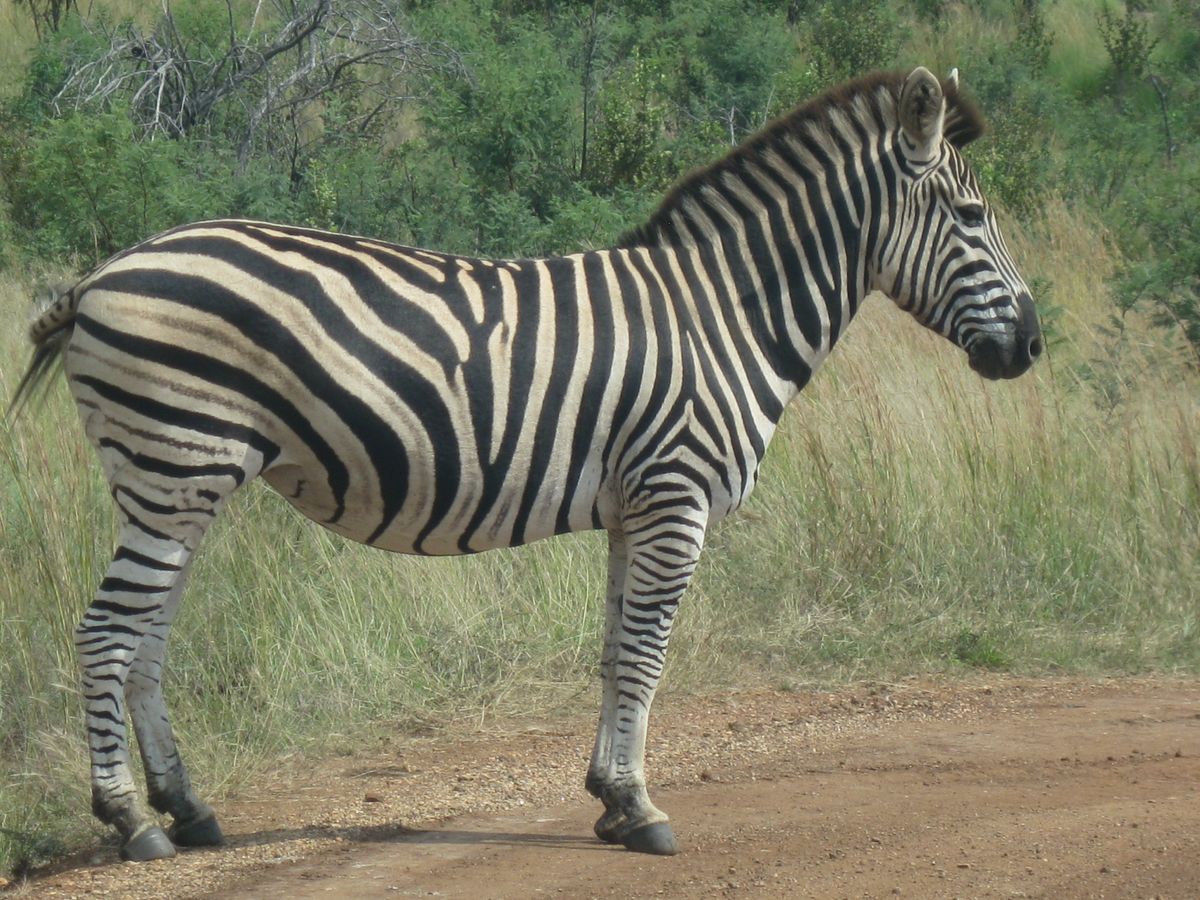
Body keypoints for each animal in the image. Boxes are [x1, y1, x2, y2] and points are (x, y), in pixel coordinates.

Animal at [9, 65, 1041, 868]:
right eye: (972, 214)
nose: (1031, 346)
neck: (723, 314)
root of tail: (102, 274)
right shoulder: (676, 496)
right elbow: (647, 653)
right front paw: (643, 808)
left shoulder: (636, 506)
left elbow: (617, 650)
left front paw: (611, 799)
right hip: (174, 464)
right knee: (106, 635)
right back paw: (132, 822)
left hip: (179, 481)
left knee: (146, 641)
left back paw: (189, 810)